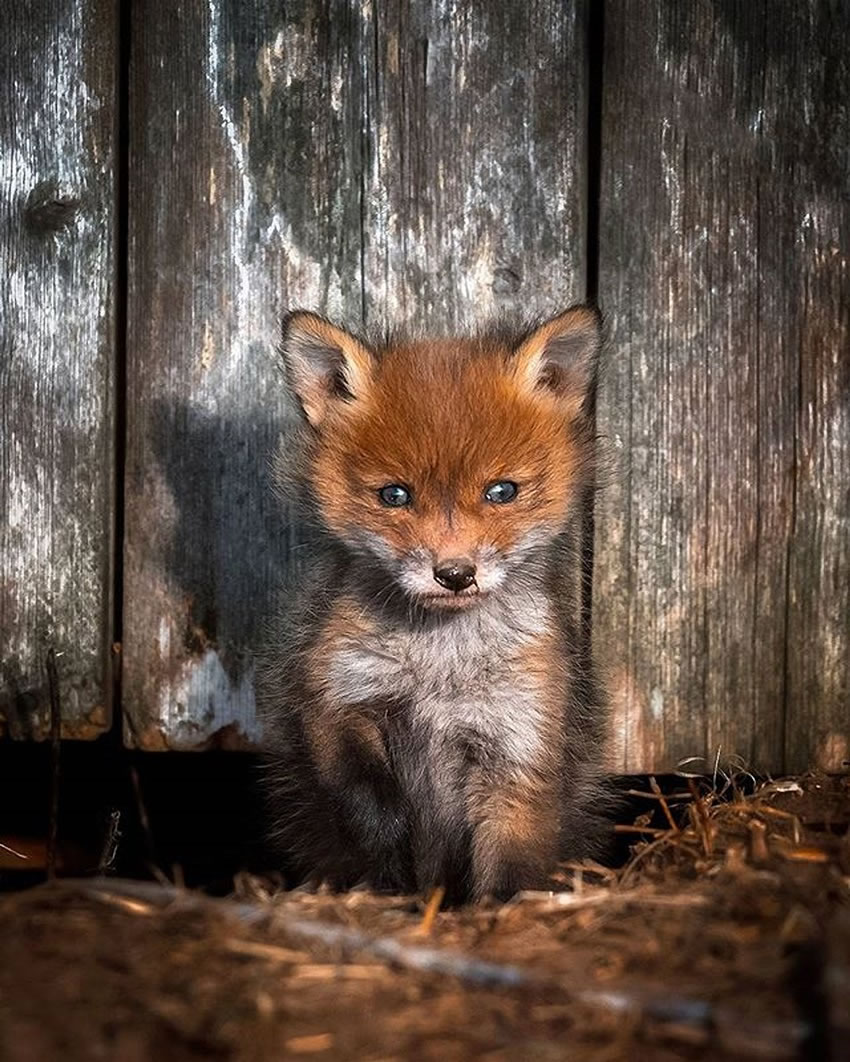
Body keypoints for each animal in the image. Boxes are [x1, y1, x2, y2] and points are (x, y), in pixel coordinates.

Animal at [259, 303, 612, 900]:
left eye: (502, 491)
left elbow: (510, 864)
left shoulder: (518, 748)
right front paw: (395, 871)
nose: (454, 574)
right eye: (395, 495)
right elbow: (371, 803)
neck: (440, 669)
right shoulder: (336, 701)